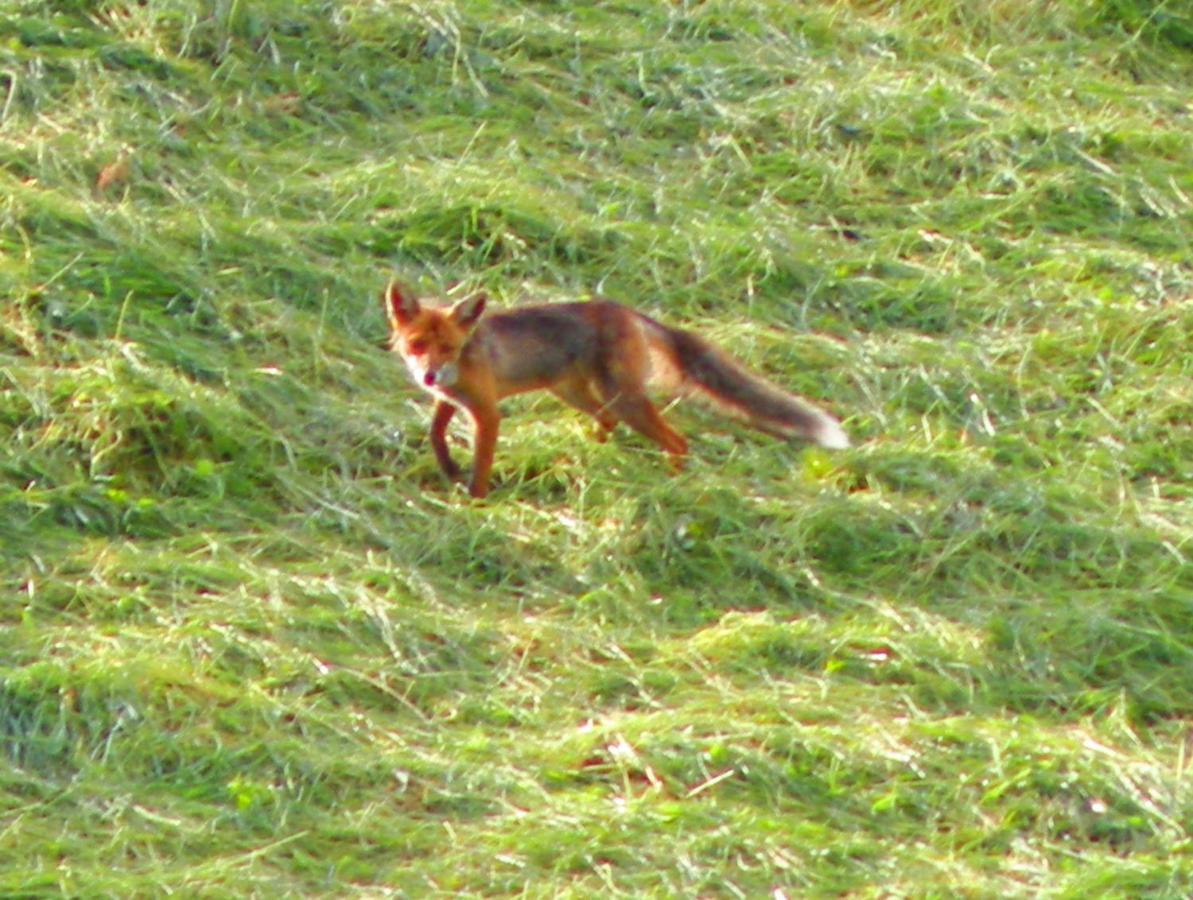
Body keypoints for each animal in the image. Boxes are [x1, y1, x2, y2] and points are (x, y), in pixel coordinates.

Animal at [381, 279, 849, 498]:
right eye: (418, 344)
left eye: (449, 347)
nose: (429, 375)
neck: (461, 366)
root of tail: (625, 310)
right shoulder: (451, 401)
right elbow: (436, 434)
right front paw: (448, 467)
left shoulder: (488, 412)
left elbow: (481, 465)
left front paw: (475, 500)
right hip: (576, 393)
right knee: (607, 421)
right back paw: (593, 453)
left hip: (623, 400)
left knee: (676, 440)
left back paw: (668, 482)